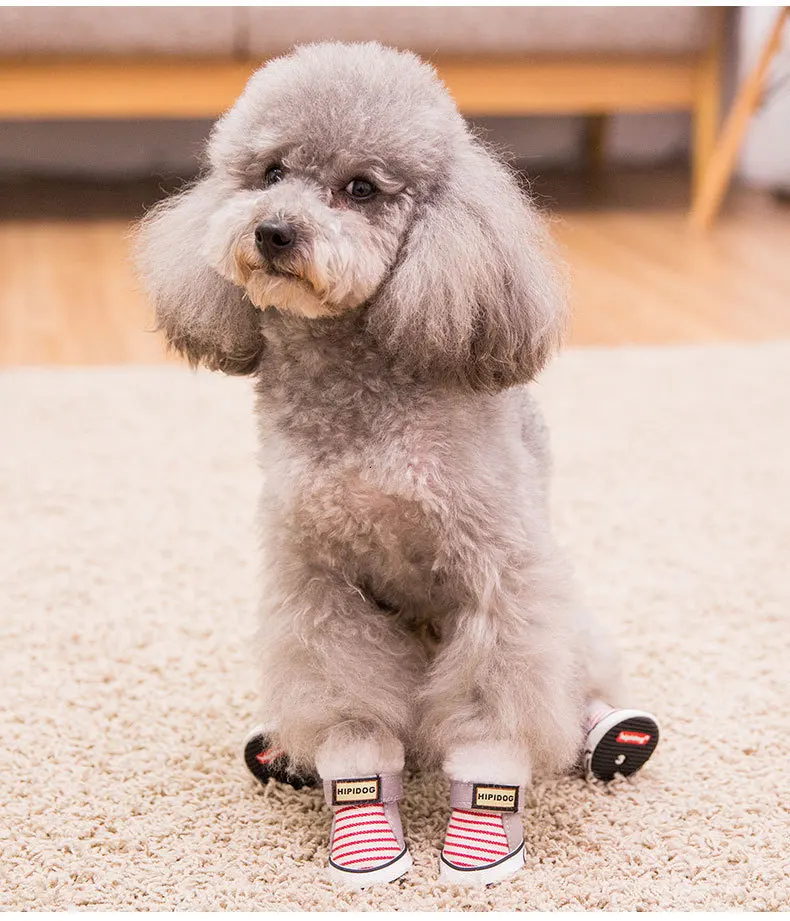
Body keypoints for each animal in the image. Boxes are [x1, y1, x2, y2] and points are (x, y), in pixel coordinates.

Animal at [135, 42, 658, 888]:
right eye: (271, 172)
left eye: (361, 188)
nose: (274, 232)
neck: (360, 407)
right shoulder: (319, 589)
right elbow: (349, 711)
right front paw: (363, 831)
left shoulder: (498, 581)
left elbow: (495, 709)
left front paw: (482, 834)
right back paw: (284, 751)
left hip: (561, 609)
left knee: (582, 679)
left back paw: (614, 732)